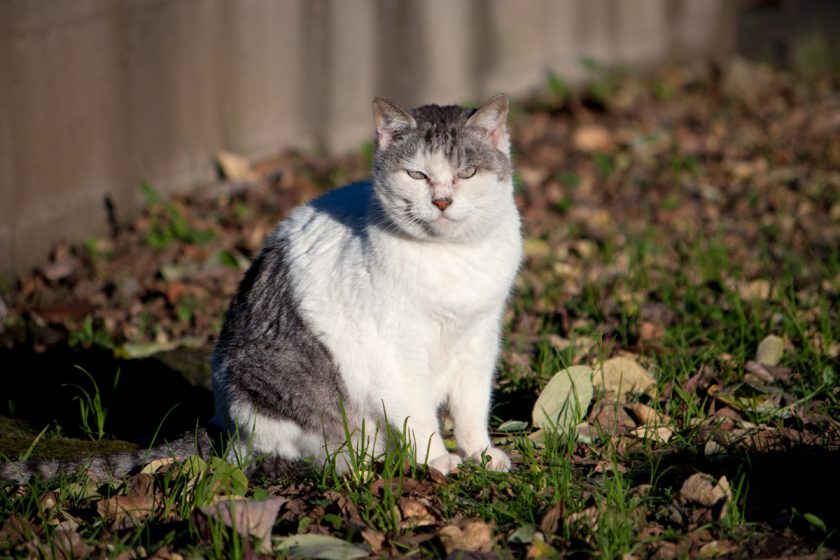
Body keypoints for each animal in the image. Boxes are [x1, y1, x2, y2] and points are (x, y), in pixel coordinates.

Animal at [0, 94, 520, 484]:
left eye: (466, 174)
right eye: (417, 174)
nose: (442, 200)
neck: (450, 262)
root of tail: (219, 421)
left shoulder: (480, 337)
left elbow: (471, 406)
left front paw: (480, 453)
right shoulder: (396, 353)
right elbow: (417, 414)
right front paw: (437, 459)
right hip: (275, 389)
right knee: (309, 449)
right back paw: (359, 463)